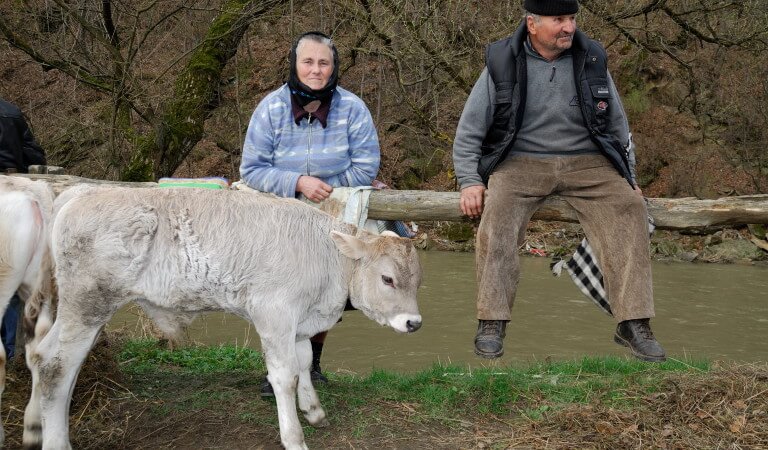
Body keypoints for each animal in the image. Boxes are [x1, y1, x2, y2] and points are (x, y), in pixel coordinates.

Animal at [24, 185, 424, 448]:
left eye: (417, 280)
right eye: (388, 279)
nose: (414, 323)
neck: (324, 255)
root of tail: (82, 191)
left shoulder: (299, 322)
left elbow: (304, 360)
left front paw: (313, 411)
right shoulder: (274, 314)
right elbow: (284, 377)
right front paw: (294, 436)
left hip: (81, 310)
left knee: (42, 355)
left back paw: (36, 423)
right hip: (88, 303)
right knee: (56, 366)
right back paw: (56, 439)